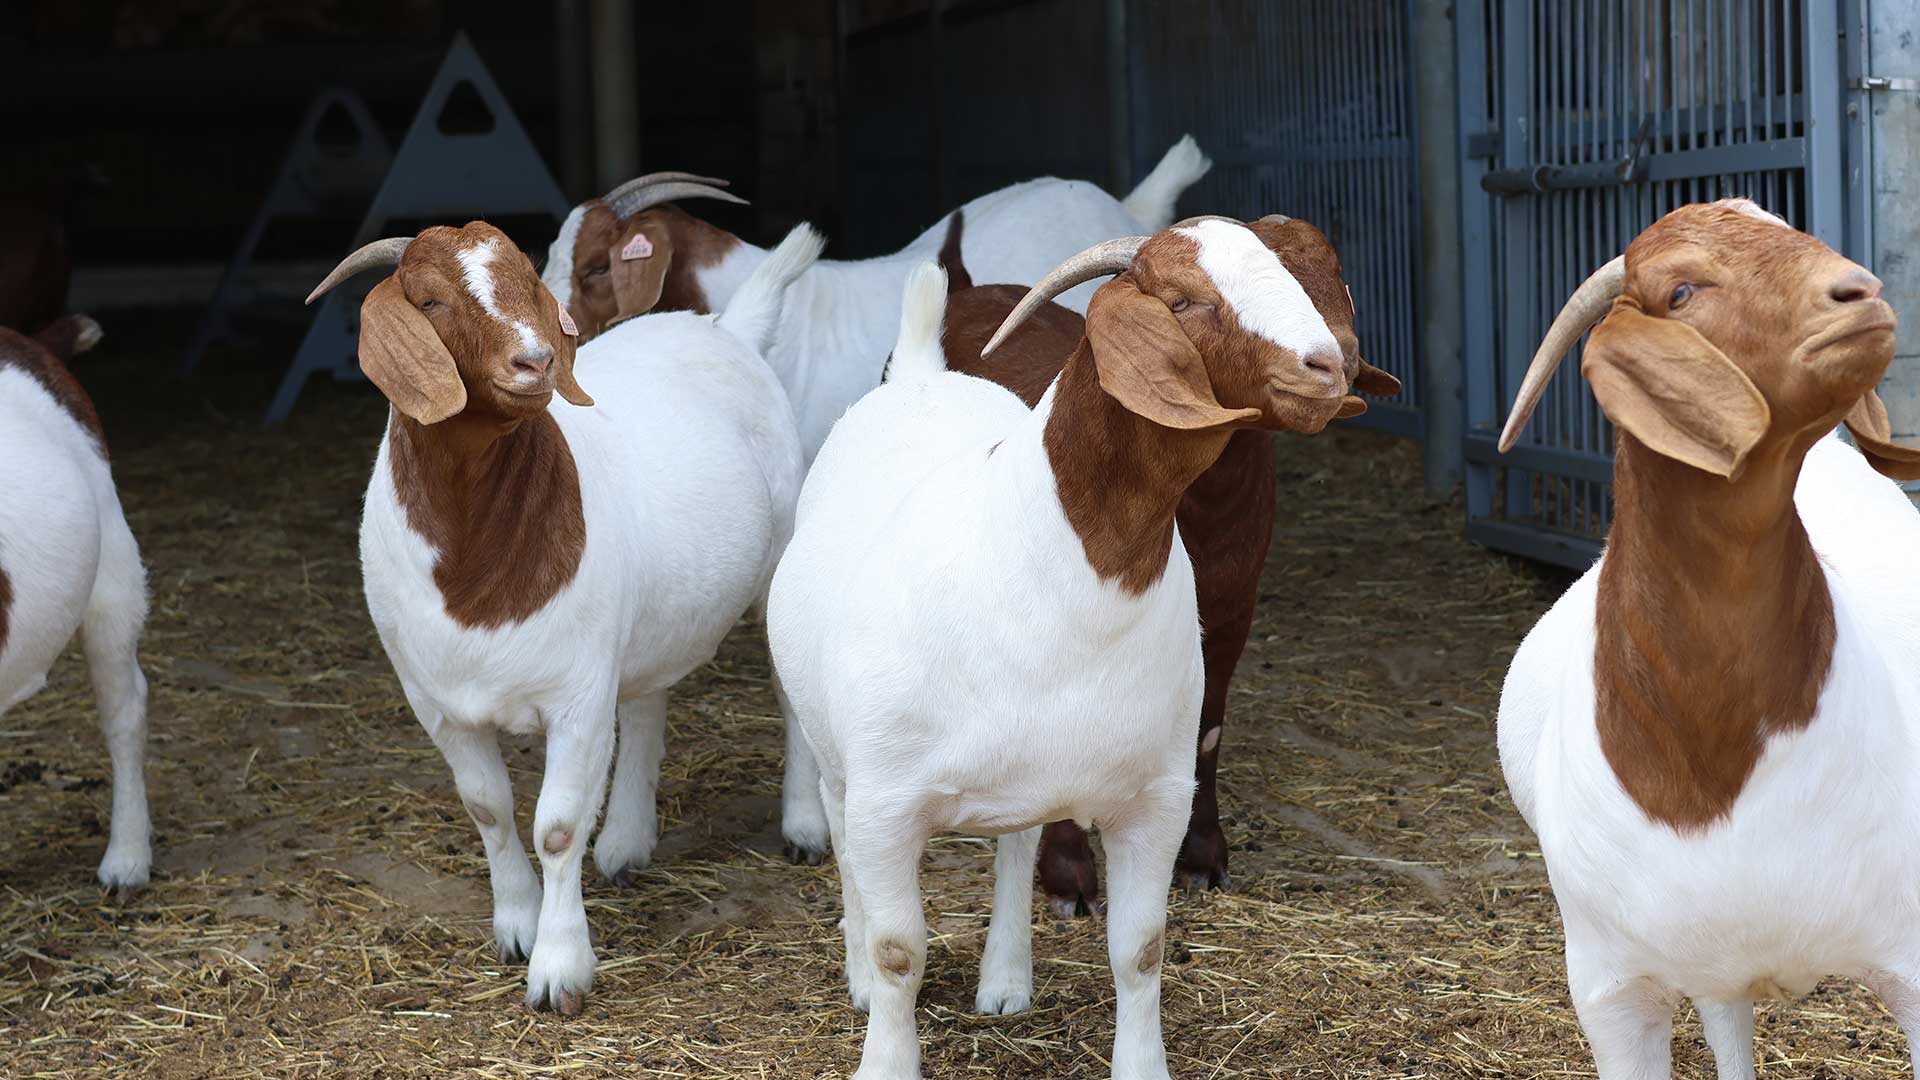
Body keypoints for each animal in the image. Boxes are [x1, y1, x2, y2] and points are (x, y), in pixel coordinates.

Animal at [307, 221, 813, 1015]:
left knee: (788, 692)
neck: (474, 567)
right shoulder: (436, 701)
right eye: (430, 299)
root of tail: (726, 328)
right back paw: (628, 842)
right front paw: (515, 923)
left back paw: (803, 826)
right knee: (647, 700)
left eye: (528, 282)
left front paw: (559, 966)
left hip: (779, 560)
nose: (535, 359)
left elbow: (556, 826)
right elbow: (487, 807)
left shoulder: (576, 698)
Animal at [936, 217, 1399, 914]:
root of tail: (969, 287)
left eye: (1333, 276)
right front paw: (1068, 876)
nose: (1328, 363)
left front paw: (1202, 856)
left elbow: (1207, 728)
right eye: (1181, 303)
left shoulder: (1231, 611)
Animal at [1496, 198, 1920, 1080]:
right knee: (1728, 1022)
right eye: (1682, 290)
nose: (1860, 293)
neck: (1713, 764)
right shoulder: (1611, 990)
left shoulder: (1913, 960)